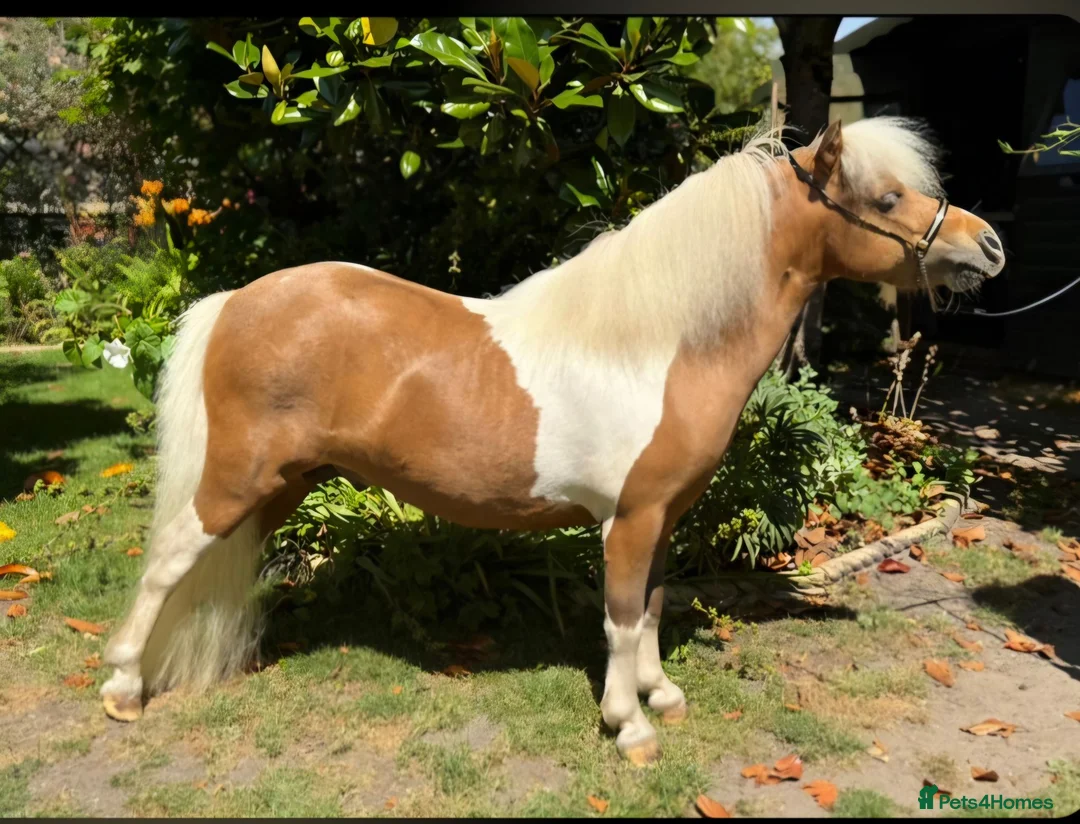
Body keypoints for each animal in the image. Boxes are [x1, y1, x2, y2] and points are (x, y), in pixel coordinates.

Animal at [100, 116, 1005, 765]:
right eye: (886, 198)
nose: (988, 245)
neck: (660, 344)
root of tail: (236, 300)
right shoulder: (629, 520)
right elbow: (620, 618)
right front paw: (629, 726)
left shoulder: (662, 518)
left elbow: (653, 607)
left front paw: (660, 696)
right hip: (235, 481)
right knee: (168, 560)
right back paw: (122, 689)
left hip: (284, 483)